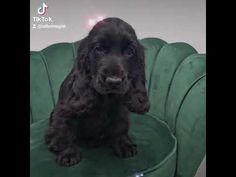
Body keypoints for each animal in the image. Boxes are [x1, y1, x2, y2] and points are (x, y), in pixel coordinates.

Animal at [45, 17, 150, 167]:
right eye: (99, 49)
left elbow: (120, 126)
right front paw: (68, 154)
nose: (114, 81)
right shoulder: (66, 110)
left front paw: (123, 145)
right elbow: (65, 130)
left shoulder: (121, 110)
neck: (105, 97)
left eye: (130, 51)